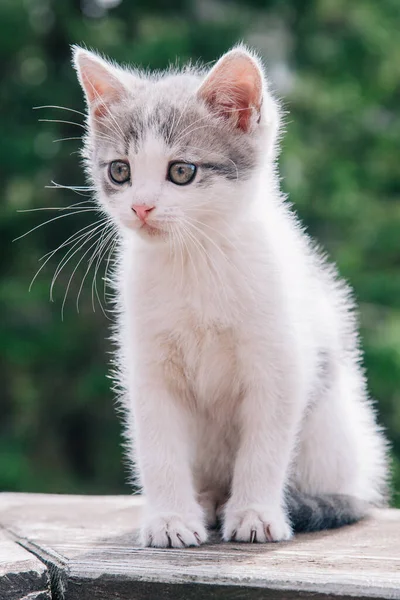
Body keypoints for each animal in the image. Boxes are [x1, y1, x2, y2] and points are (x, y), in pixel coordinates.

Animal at [73, 44, 390, 548]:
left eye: (181, 171)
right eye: (120, 171)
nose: (141, 206)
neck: (194, 259)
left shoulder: (279, 363)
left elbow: (264, 446)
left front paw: (254, 514)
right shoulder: (149, 367)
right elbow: (159, 446)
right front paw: (170, 519)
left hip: (337, 430)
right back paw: (203, 502)